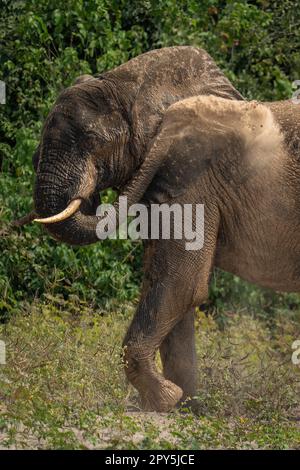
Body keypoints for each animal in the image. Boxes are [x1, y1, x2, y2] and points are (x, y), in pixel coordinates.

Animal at [15, 44, 300, 412]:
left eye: (92, 139)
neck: (133, 84)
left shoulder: (192, 172)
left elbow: (180, 280)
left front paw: (166, 399)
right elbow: (164, 282)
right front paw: (184, 405)